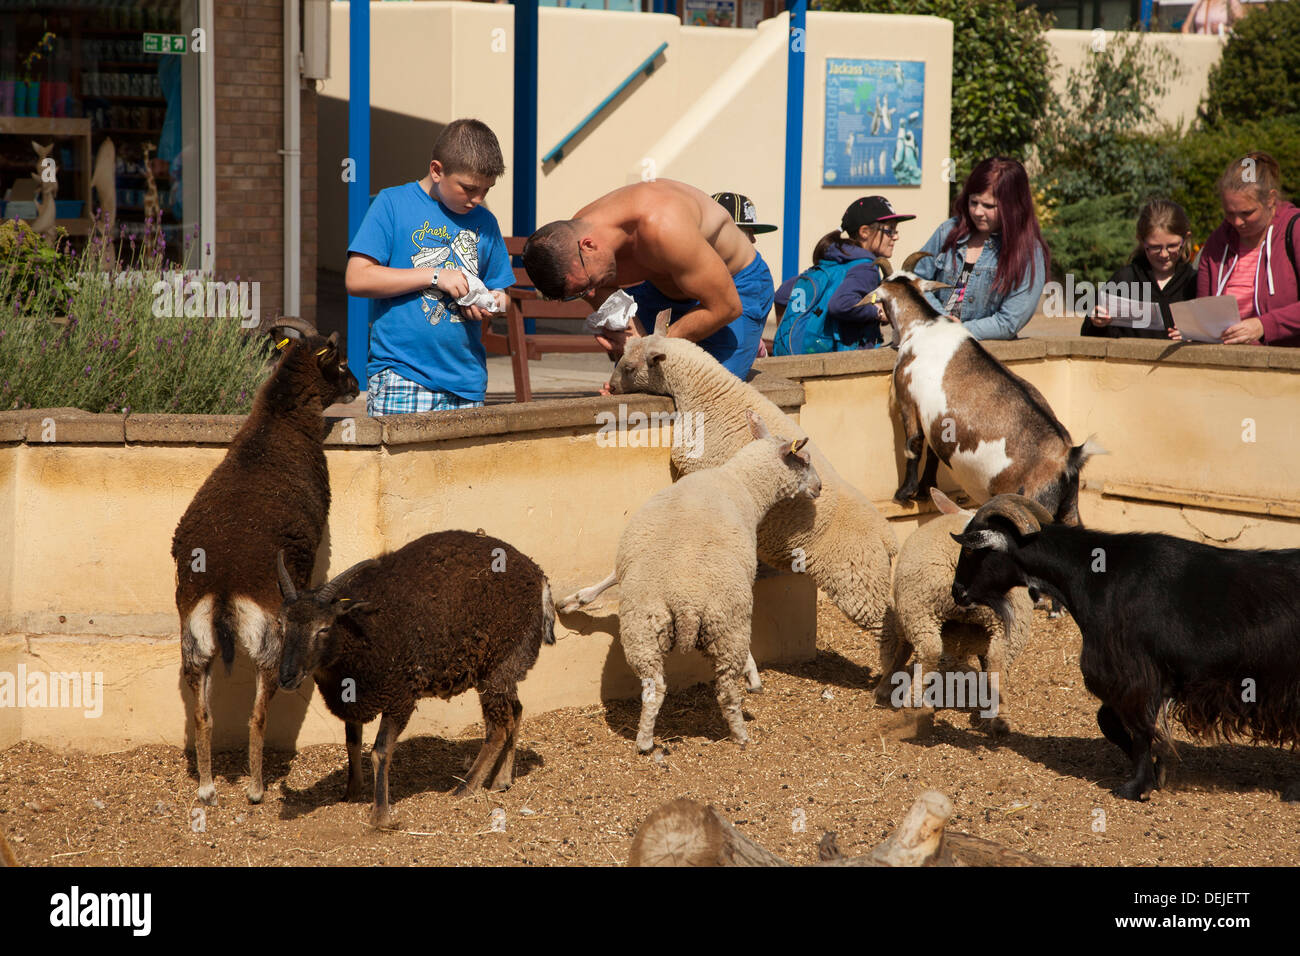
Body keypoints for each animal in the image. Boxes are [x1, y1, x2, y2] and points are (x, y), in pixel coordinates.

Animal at [559, 411, 821, 754]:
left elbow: (610, 578)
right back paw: (740, 735)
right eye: (804, 459)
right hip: (724, 624)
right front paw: (753, 676)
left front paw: (573, 602)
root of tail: (686, 603)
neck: (741, 482)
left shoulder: (630, 556)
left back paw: (645, 741)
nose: (819, 487)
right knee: (726, 691)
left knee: (654, 687)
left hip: (646, 627)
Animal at [605, 319, 894, 650]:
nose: (610, 388)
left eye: (628, 366)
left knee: (892, 633)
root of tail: (889, 538)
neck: (709, 393)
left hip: (859, 583)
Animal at [863, 251, 1097, 528]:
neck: (923, 325)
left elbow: (915, 444)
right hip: (1070, 509)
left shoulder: (907, 396)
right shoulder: (937, 417)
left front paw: (904, 493)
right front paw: (925, 490)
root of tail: (1068, 458)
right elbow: (933, 453)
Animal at [873, 489, 1034, 738]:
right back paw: (1000, 720)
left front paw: (883, 689)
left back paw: (913, 705)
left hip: (919, 606)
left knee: (929, 650)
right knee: (997, 661)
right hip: (1011, 624)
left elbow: (902, 650)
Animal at [951, 496, 1300, 806]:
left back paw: (1293, 792)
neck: (1094, 575)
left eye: (970, 549)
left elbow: (1138, 728)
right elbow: (1109, 720)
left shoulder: (1133, 673)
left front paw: (1137, 787)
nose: (957, 592)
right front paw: (1158, 770)